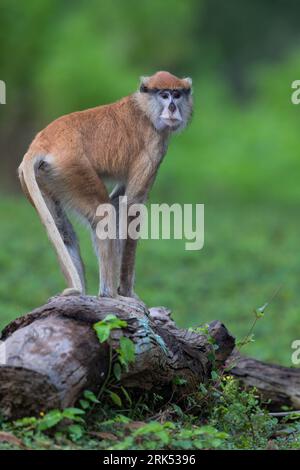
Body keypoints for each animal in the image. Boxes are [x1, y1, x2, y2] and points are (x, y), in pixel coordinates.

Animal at [18, 70, 192, 298]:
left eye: (177, 94)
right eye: (164, 95)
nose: (172, 108)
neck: (144, 109)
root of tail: (42, 143)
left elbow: (119, 199)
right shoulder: (154, 144)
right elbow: (131, 206)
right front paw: (127, 291)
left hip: (45, 178)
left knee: (64, 231)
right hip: (72, 167)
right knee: (104, 215)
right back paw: (109, 293)